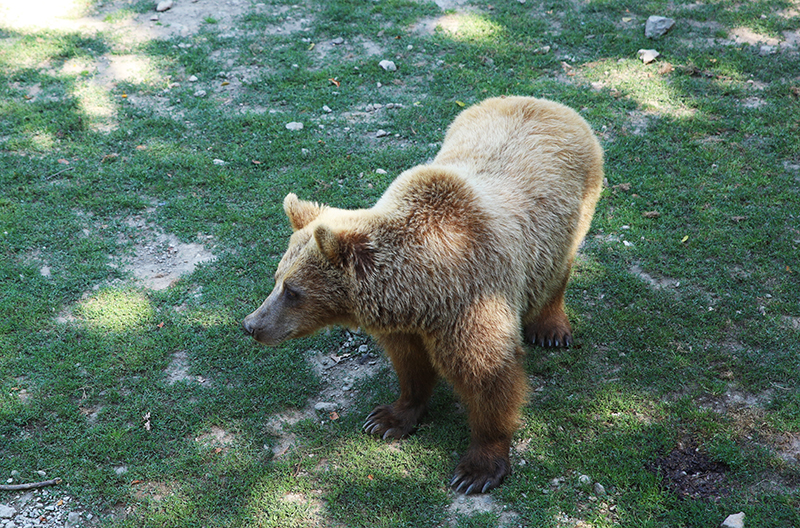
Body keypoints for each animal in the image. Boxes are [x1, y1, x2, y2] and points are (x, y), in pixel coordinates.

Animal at [244, 95, 608, 496]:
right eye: (277, 278)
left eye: (293, 291)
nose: (252, 324)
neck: (422, 293)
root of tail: (544, 102)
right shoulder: (407, 322)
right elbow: (410, 365)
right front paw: (387, 418)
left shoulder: (473, 297)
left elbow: (489, 379)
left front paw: (478, 469)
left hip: (568, 219)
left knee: (558, 269)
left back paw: (551, 328)